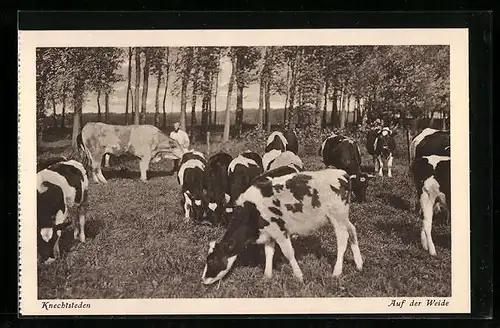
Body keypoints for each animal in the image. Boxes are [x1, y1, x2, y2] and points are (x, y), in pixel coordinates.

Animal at [202, 169, 364, 284]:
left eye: (211, 260)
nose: (203, 280)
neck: (252, 210)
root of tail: (342, 173)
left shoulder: (280, 231)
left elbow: (289, 253)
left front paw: (299, 276)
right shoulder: (268, 233)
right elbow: (269, 252)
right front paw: (267, 276)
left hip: (337, 216)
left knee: (342, 239)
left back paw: (337, 271)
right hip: (343, 217)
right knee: (352, 230)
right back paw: (359, 264)